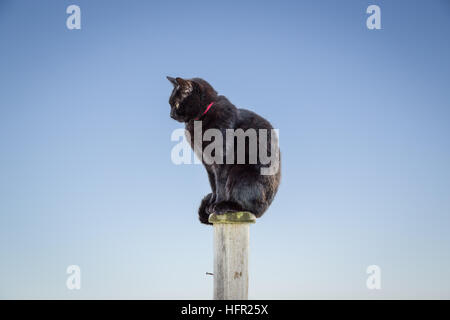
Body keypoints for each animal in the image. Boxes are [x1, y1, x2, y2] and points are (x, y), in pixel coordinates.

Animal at [168, 76, 280, 224]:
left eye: (176, 104)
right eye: (170, 104)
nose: (171, 114)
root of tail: (265, 209)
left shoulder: (221, 160)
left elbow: (220, 184)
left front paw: (216, 204)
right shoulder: (208, 165)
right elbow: (213, 185)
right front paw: (210, 204)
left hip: (241, 172)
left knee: (248, 207)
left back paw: (225, 206)